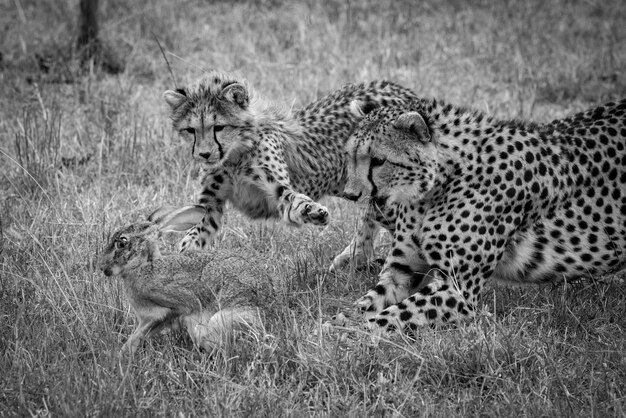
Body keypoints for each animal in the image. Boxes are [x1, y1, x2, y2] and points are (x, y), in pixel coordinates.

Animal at [161, 70, 416, 270]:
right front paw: (181, 261)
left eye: (218, 127)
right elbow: (195, 231)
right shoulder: (210, 204)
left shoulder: (277, 189)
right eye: (191, 130)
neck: (234, 155)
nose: (204, 154)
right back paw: (353, 258)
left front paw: (312, 211)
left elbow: (292, 200)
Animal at [342, 96, 624, 332]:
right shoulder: (402, 271)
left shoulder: (458, 291)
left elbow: (391, 316)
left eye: (379, 161)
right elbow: (367, 302)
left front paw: (351, 335)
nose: (349, 195)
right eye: (350, 156)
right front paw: (339, 323)